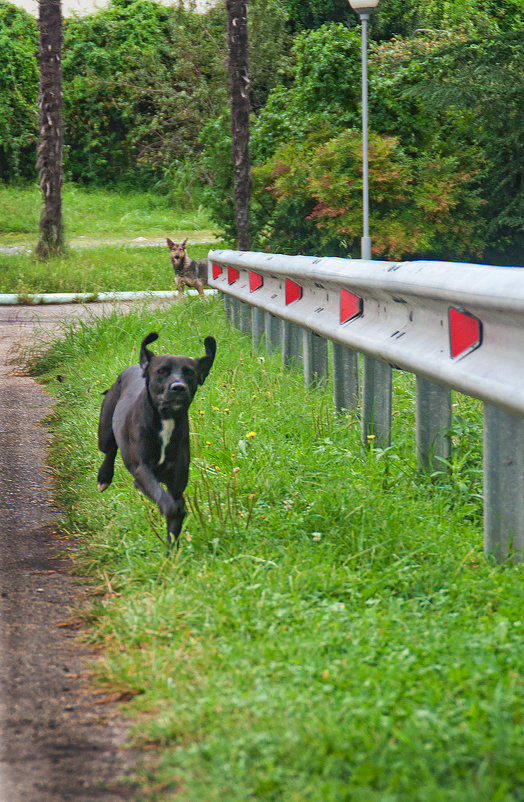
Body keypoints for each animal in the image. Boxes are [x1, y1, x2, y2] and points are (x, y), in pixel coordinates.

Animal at [95, 330, 215, 552]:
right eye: (161, 371)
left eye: (190, 373)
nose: (178, 387)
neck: (166, 419)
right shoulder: (142, 468)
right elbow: (162, 497)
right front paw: (171, 508)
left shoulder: (177, 479)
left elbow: (174, 520)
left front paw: (171, 555)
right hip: (105, 432)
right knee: (110, 449)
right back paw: (104, 477)